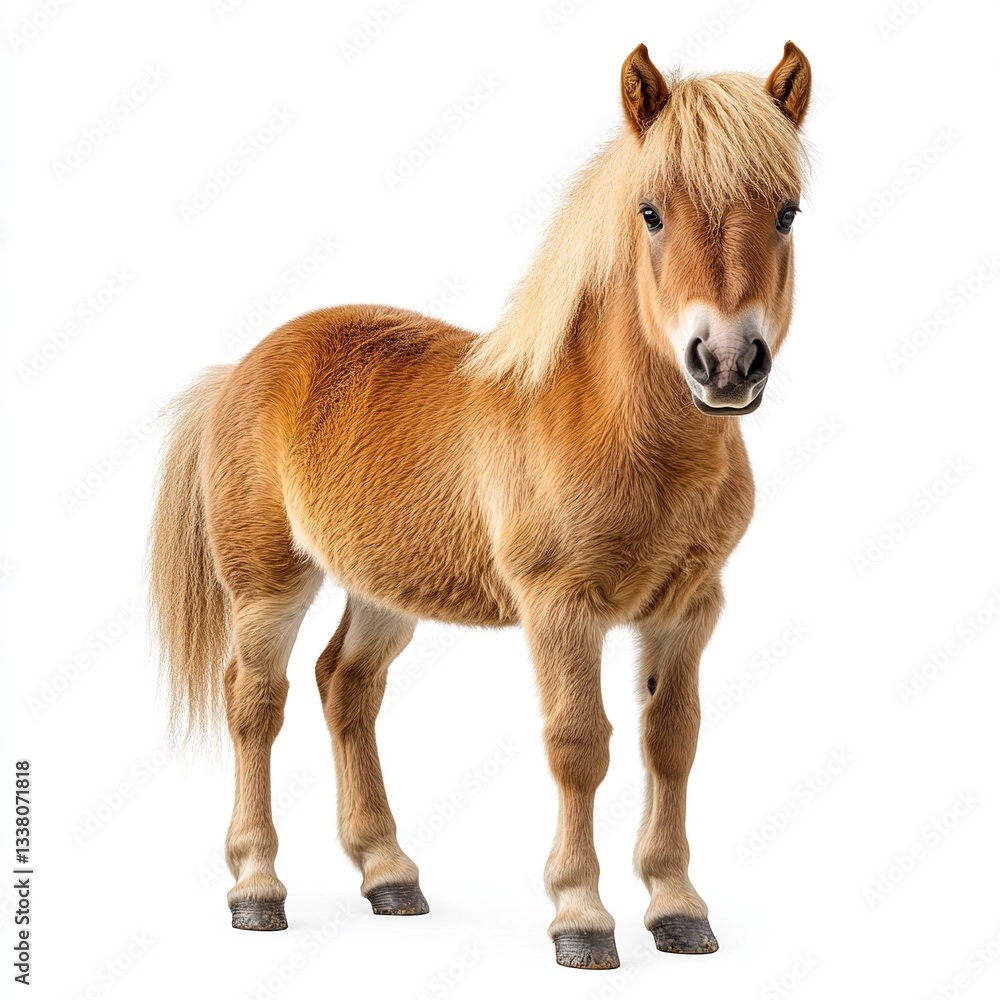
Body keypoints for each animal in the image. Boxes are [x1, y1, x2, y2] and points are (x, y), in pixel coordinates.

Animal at [149, 40, 811, 970]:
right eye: (650, 212)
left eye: (786, 212)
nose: (725, 363)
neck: (617, 429)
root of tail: (238, 370)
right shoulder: (560, 607)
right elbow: (580, 744)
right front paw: (581, 917)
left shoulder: (689, 610)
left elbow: (671, 742)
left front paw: (677, 908)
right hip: (267, 584)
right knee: (255, 699)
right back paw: (257, 888)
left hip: (384, 587)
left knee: (345, 684)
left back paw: (389, 874)